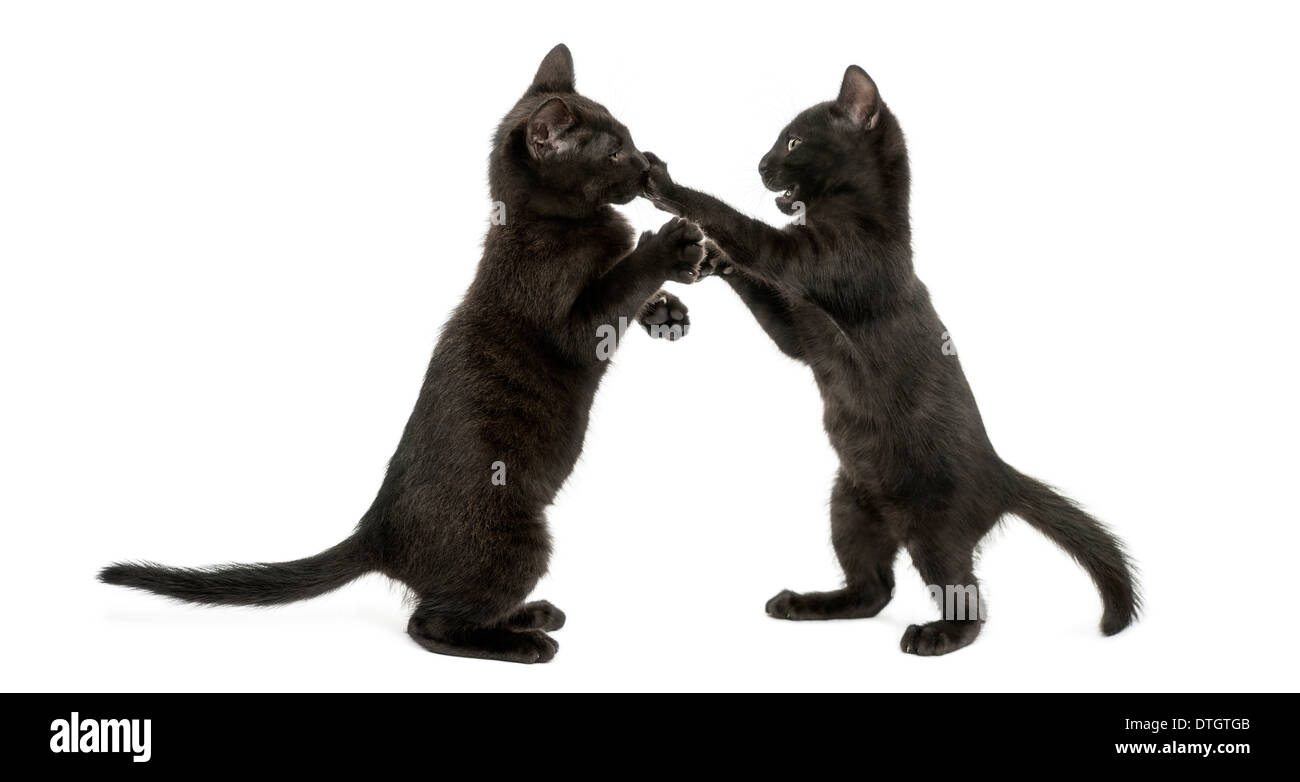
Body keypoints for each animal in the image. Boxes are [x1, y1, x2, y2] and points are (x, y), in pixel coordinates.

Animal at [101, 44, 707, 662]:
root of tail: (379, 532)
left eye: (630, 138)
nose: (648, 165)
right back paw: (525, 641)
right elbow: (615, 288)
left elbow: (627, 288)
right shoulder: (566, 321)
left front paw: (668, 310)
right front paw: (668, 248)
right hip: (516, 537)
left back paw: (529, 615)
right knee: (430, 624)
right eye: (614, 151)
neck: (545, 222)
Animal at [650, 65, 1138, 652]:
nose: (762, 164)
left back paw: (934, 637)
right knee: (872, 588)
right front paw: (706, 260)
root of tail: (1000, 473)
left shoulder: (806, 263)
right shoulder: (798, 334)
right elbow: (760, 285)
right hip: (849, 505)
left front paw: (667, 187)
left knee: (967, 602)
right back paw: (803, 604)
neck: (858, 222)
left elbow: (742, 227)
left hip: (933, 531)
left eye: (793, 142)